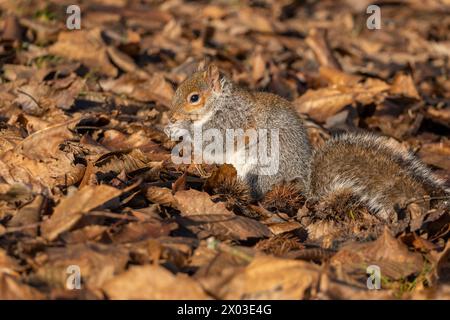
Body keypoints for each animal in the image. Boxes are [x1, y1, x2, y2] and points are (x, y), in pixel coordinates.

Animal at [164, 63, 446, 221]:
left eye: (194, 98)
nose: (172, 114)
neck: (220, 103)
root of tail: (304, 187)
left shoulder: (233, 122)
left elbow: (215, 141)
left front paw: (181, 127)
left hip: (263, 168)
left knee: (258, 193)